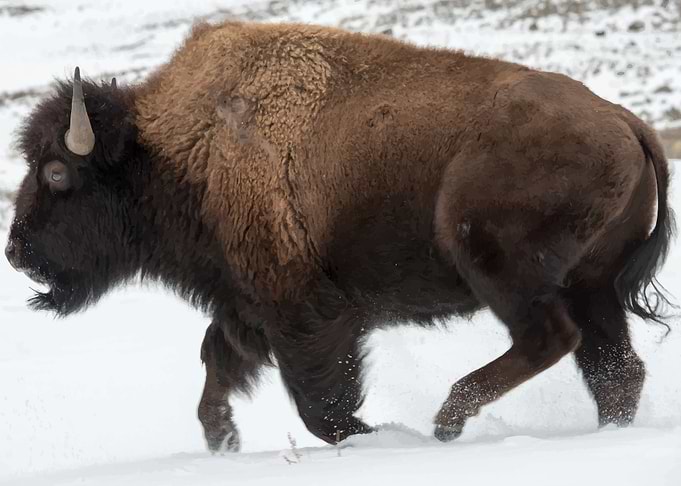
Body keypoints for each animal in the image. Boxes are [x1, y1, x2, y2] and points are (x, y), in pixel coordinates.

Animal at [5, 21, 673, 452]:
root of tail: (625, 121)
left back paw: (446, 422)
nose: (15, 251)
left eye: (57, 172)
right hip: (591, 284)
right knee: (612, 368)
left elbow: (319, 401)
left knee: (550, 339)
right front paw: (222, 439)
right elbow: (218, 359)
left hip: (500, 267)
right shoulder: (246, 304)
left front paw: (375, 438)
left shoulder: (304, 312)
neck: (180, 150)